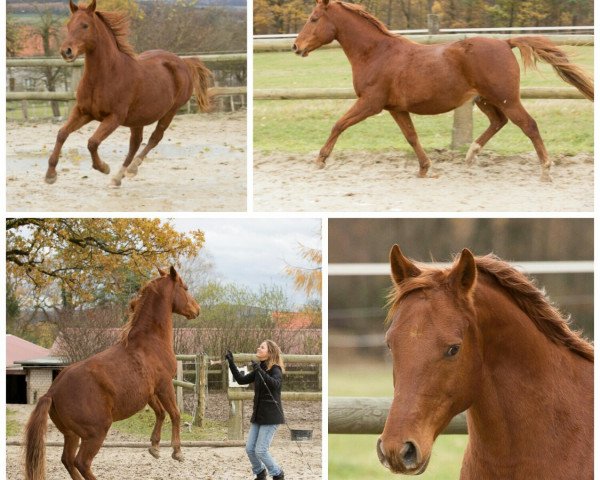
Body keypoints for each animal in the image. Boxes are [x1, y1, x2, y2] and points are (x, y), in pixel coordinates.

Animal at [24, 266, 202, 480]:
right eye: (185, 288)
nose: (197, 310)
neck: (150, 342)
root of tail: (52, 391)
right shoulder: (164, 384)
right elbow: (174, 413)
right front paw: (177, 452)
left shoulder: (149, 392)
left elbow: (160, 413)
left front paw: (155, 447)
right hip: (95, 433)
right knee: (81, 462)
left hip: (71, 435)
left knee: (67, 460)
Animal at [45, 0, 212, 188]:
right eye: (68, 25)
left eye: (85, 25)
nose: (66, 51)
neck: (106, 75)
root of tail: (183, 62)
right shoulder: (83, 112)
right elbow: (62, 134)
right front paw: (50, 175)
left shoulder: (114, 118)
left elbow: (92, 142)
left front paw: (103, 167)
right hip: (138, 118)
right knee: (135, 143)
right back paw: (118, 177)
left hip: (170, 112)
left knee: (155, 138)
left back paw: (130, 169)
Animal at [292, 0, 592, 181]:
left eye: (314, 18)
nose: (296, 47)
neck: (376, 53)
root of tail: (505, 42)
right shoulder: (396, 109)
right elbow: (411, 137)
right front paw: (425, 168)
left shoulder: (370, 103)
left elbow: (338, 124)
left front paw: (320, 160)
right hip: (485, 100)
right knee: (499, 122)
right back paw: (471, 155)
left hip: (506, 98)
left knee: (528, 125)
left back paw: (545, 170)